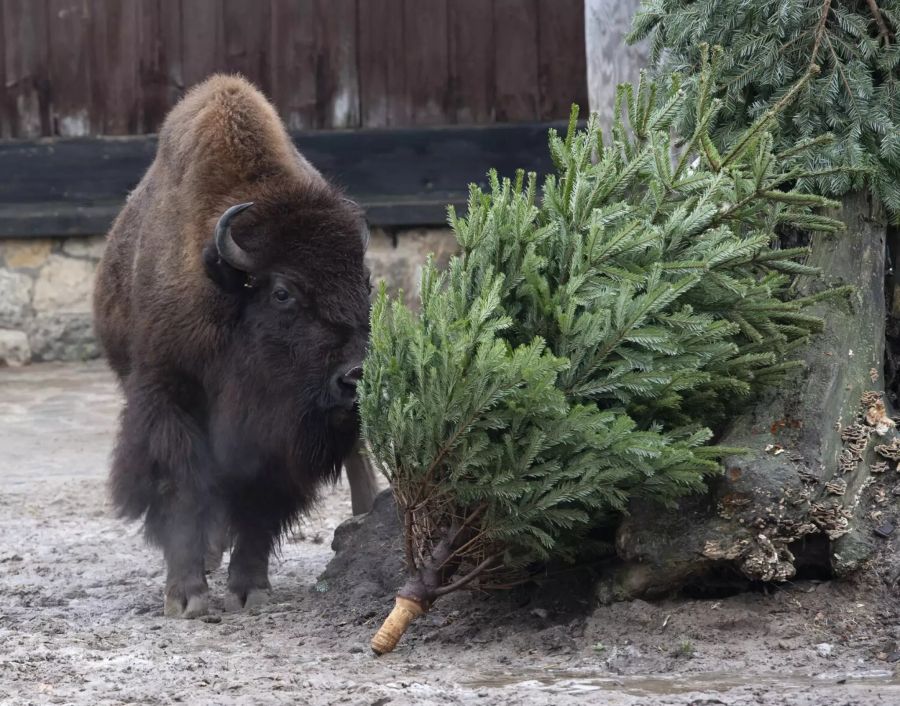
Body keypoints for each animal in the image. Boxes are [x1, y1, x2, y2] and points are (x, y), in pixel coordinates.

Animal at [95, 75, 380, 616]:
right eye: (283, 292)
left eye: (367, 285)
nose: (355, 376)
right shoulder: (168, 396)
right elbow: (183, 487)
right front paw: (187, 596)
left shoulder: (275, 431)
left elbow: (257, 496)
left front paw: (251, 588)